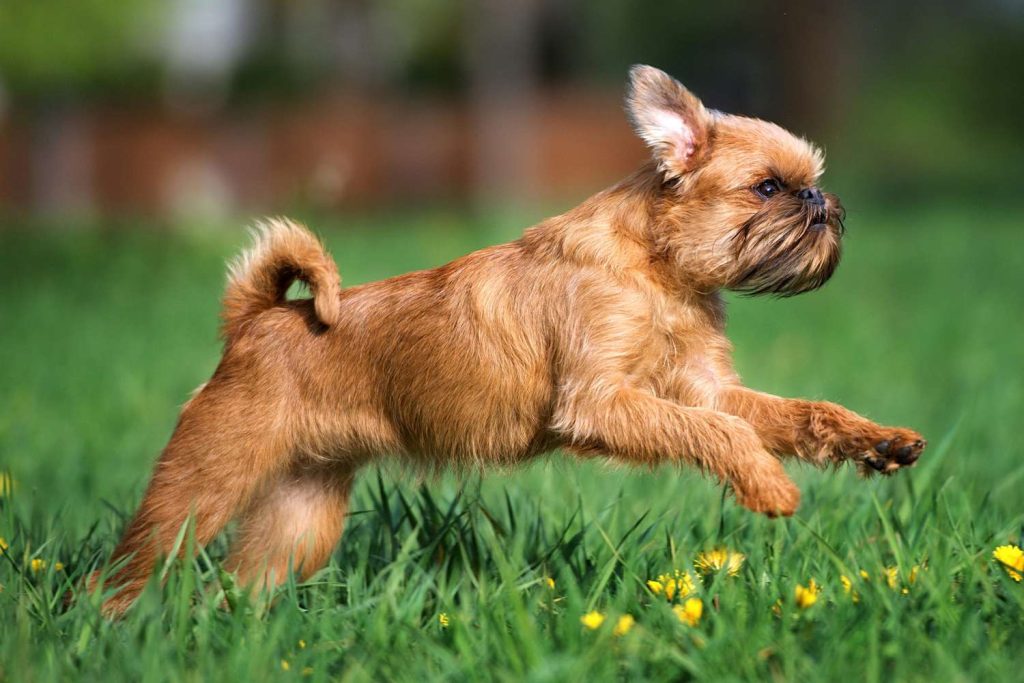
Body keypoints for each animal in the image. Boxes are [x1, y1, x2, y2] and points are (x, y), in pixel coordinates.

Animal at [97, 66, 929, 618]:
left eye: (806, 182)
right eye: (767, 188)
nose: (821, 199)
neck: (658, 271)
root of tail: (257, 319)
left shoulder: (706, 388)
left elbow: (795, 413)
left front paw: (878, 441)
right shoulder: (604, 402)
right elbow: (717, 432)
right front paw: (769, 484)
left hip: (298, 516)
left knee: (236, 583)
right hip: (202, 485)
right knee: (123, 574)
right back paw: (117, 634)